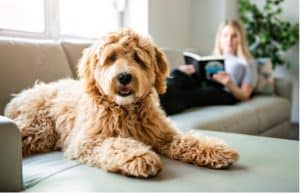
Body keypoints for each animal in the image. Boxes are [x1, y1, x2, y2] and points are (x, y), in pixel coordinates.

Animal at [4, 29, 239, 178]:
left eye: (137, 58)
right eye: (111, 57)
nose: (124, 77)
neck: (126, 109)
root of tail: (23, 93)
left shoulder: (163, 134)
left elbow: (187, 140)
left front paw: (216, 149)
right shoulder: (88, 141)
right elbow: (116, 144)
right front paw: (139, 156)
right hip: (39, 127)